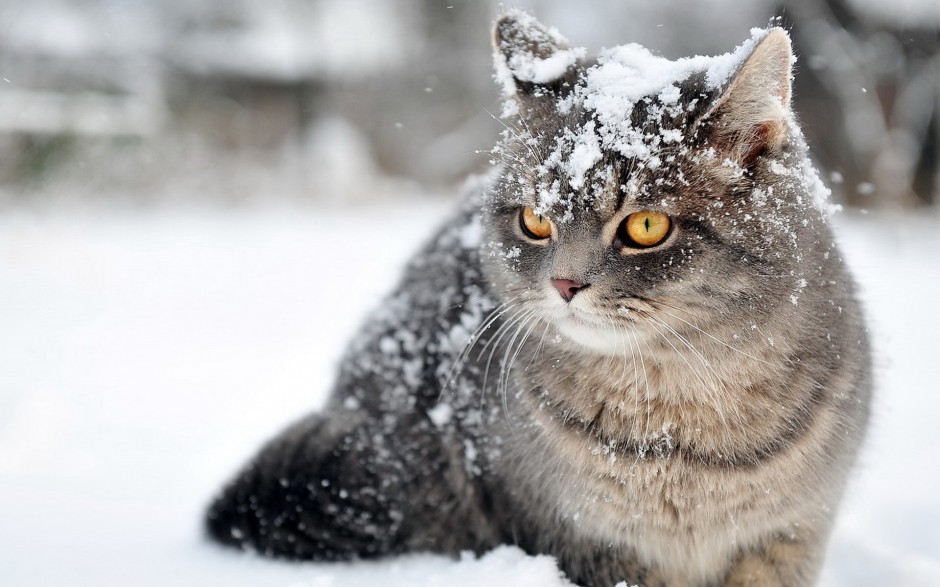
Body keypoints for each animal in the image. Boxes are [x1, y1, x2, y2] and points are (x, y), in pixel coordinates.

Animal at [206, 10, 872, 587]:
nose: (564, 285)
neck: (679, 429)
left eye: (646, 226)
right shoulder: (581, 538)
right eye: (534, 220)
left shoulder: (789, 535)